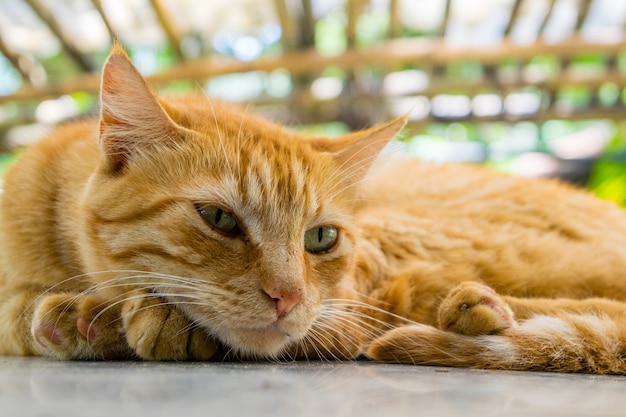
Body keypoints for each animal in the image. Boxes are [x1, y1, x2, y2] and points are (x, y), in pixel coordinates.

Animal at [0, 43, 624, 374]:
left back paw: (478, 311)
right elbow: (17, 312)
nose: (288, 297)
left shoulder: (353, 298)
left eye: (320, 237)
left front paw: (134, 319)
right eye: (219, 219)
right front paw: (80, 317)